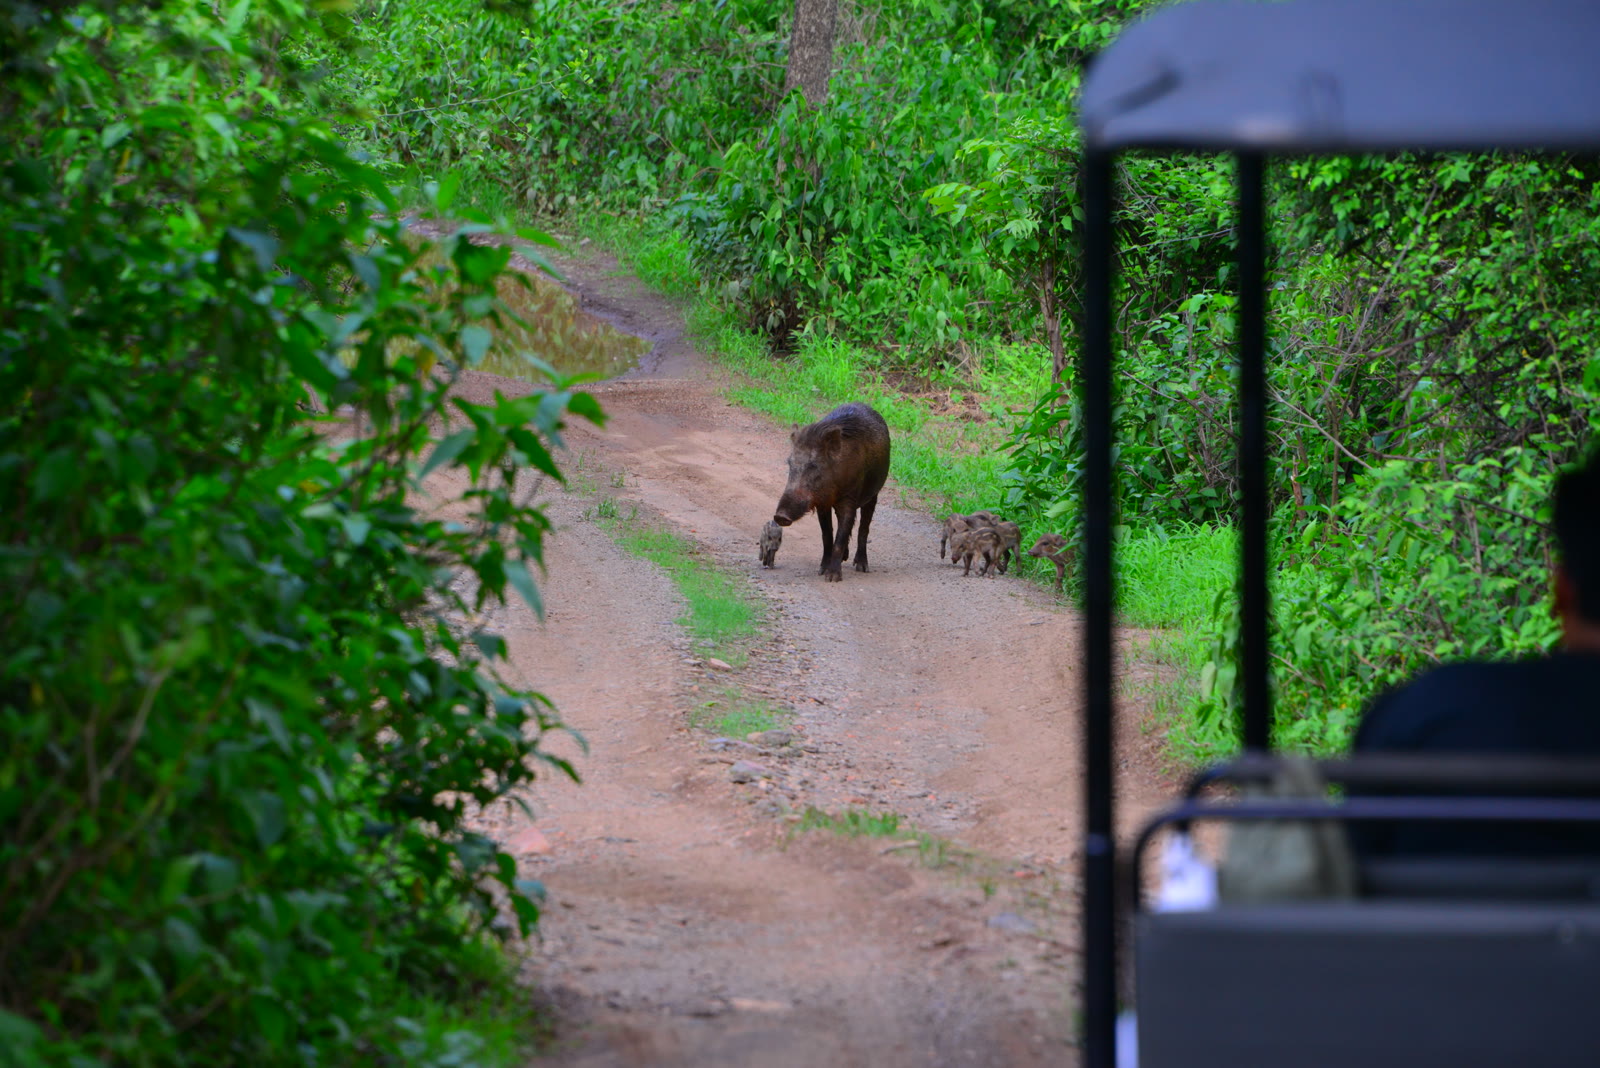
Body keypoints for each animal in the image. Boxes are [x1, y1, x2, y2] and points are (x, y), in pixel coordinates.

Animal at [771, 402, 892, 582]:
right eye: (790, 463)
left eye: (814, 466)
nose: (780, 516)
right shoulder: (822, 504)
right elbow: (827, 536)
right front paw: (821, 570)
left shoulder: (850, 498)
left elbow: (841, 537)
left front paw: (832, 577)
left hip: (873, 495)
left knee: (864, 528)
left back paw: (862, 567)